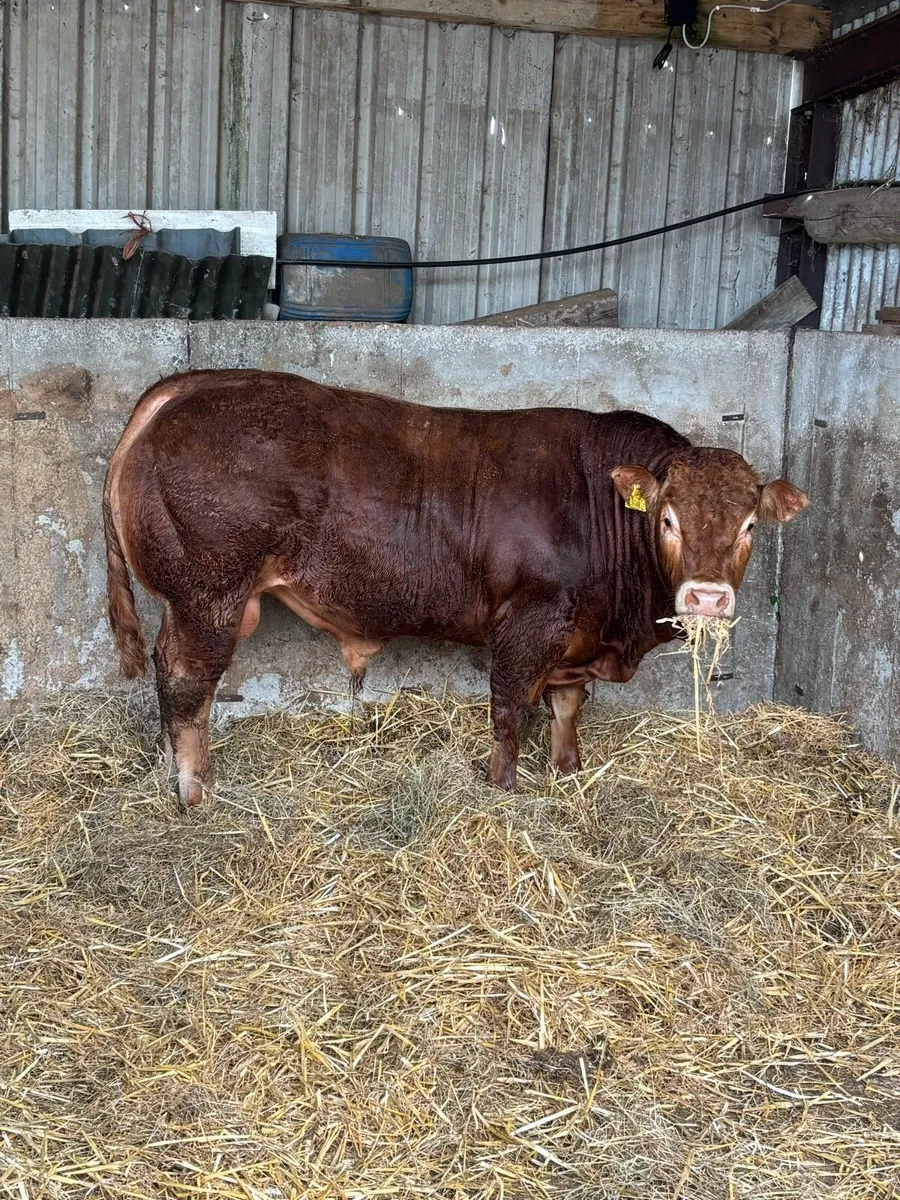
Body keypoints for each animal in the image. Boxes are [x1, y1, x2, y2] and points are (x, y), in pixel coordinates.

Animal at [103, 369, 808, 806]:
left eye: (750, 524)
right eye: (667, 519)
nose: (707, 597)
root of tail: (195, 383)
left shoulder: (576, 635)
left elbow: (567, 707)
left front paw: (568, 771)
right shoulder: (528, 620)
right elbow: (508, 708)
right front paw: (502, 788)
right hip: (209, 596)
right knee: (187, 683)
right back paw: (194, 789)